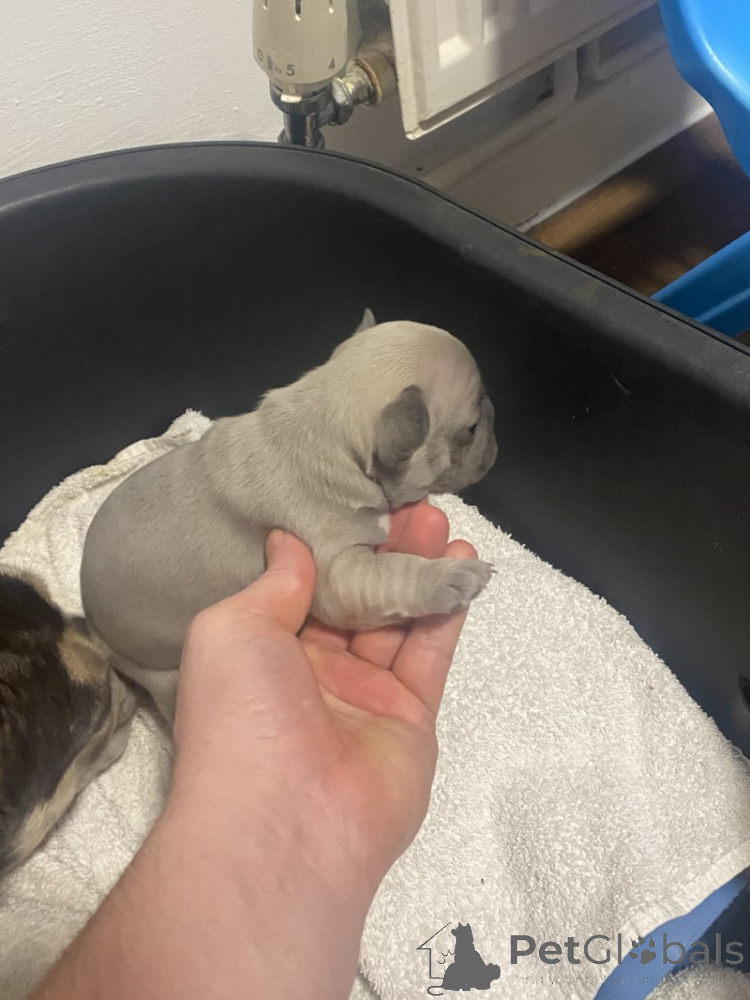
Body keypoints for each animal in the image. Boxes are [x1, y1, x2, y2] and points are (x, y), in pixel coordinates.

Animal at [80, 314, 498, 722]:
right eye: (472, 428)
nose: (495, 414)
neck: (327, 430)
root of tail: (96, 631)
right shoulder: (336, 571)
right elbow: (396, 574)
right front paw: (453, 577)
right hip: (162, 672)